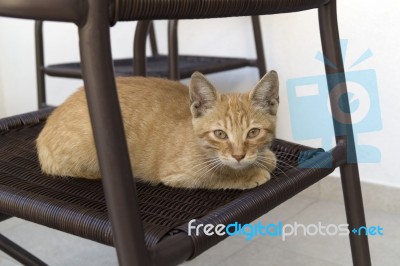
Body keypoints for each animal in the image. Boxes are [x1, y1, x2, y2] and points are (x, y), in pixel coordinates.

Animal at [37, 71, 280, 189]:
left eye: (253, 133)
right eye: (220, 134)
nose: (239, 155)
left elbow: (268, 158)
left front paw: (264, 158)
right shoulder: (178, 175)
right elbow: (216, 175)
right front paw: (250, 174)